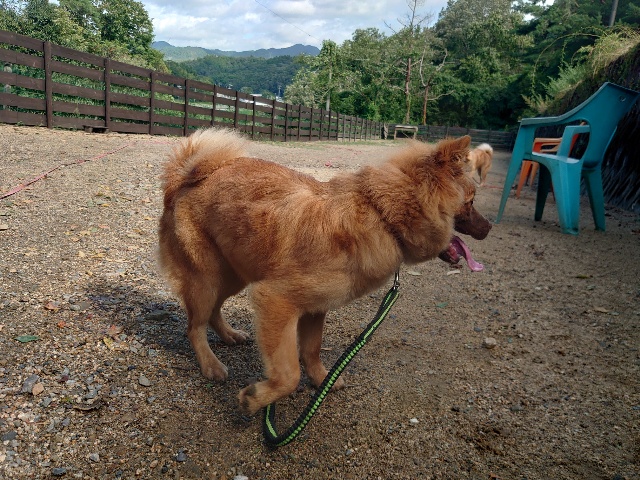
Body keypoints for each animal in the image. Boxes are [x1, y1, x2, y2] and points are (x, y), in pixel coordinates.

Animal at [158, 128, 491, 415]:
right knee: (194, 326)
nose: (489, 227)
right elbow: (289, 374)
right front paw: (257, 398)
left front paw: (322, 380)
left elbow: (312, 350)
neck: (383, 214)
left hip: (232, 275)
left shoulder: (315, 307)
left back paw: (229, 335)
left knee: (213, 312)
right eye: (471, 201)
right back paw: (210, 364)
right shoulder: (276, 299)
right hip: (207, 278)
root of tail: (186, 177)